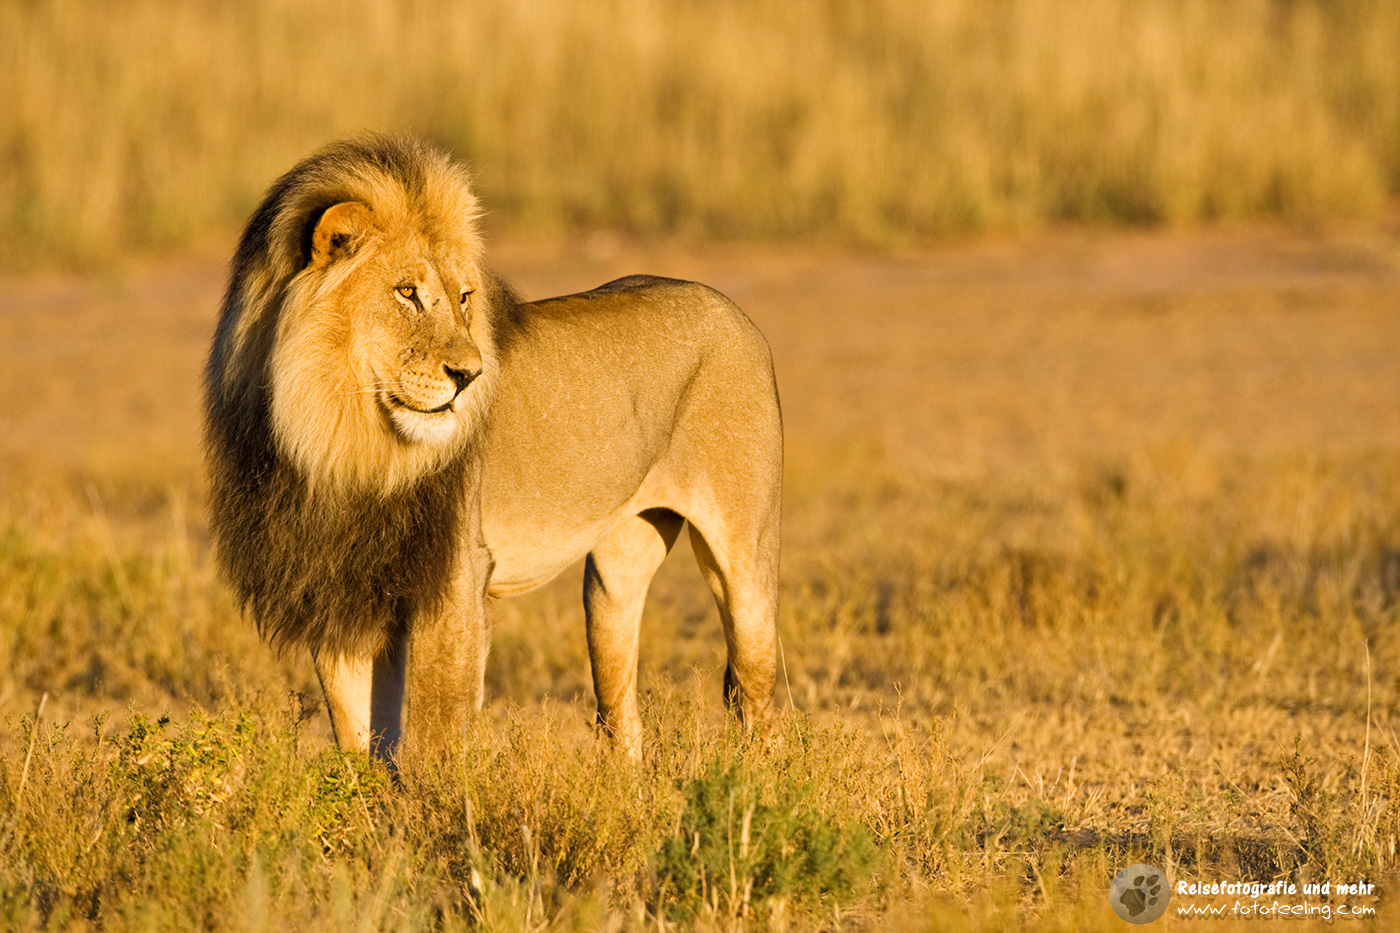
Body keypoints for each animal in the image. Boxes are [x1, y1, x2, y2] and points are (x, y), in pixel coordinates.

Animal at [203, 134, 782, 761]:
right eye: (406, 293)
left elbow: (432, 732)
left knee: (758, 699)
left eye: (463, 298)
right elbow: (358, 736)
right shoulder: (342, 591)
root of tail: (730, 307)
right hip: (613, 578)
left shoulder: (455, 579)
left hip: (746, 566)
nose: (469, 375)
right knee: (621, 714)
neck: (344, 442)